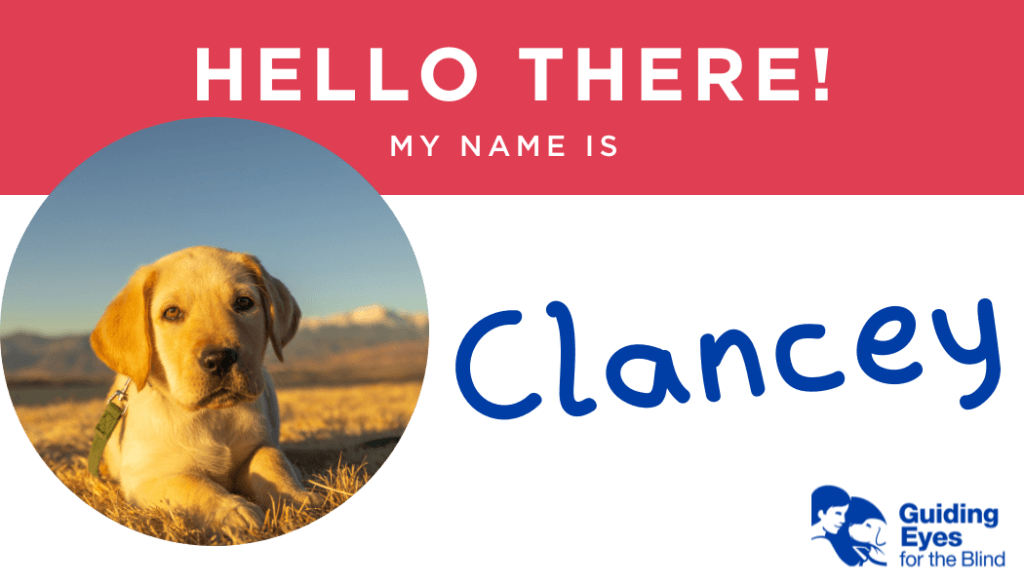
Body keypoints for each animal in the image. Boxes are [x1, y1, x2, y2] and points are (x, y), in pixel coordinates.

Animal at [93, 246, 323, 536]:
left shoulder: (261, 443)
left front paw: (296, 496)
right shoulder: (145, 478)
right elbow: (190, 483)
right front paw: (233, 510)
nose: (220, 359)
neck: (212, 416)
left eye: (244, 302)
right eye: (171, 312)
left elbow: (271, 460)